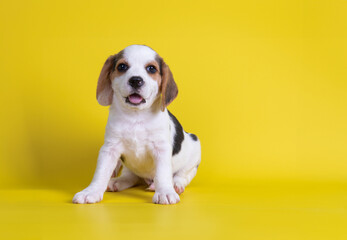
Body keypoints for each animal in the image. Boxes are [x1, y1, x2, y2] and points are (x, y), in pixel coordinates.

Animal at [72, 45, 201, 204]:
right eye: (122, 66)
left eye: (151, 69)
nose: (135, 80)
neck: (136, 117)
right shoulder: (109, 148)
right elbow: (100, 172)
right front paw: (91, 191)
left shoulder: (161, 149)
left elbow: (163, 174)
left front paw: (165, 191)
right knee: (131, 176)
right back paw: (117, 181)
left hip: (195, 148)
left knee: (182, 175)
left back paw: (174, 185)